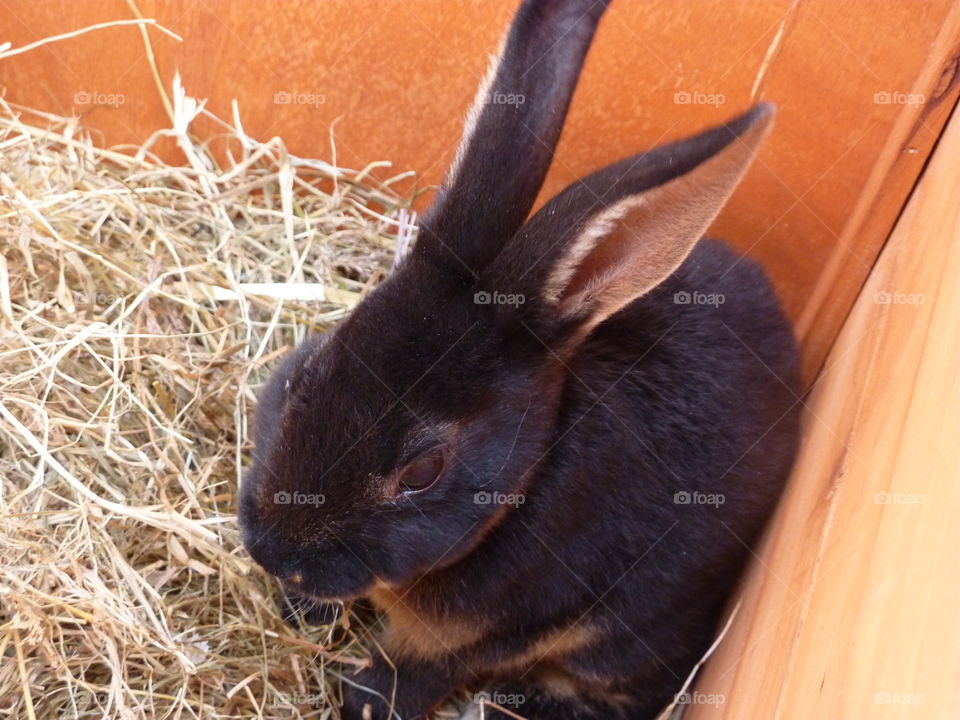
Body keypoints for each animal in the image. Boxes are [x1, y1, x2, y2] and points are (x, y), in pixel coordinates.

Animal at [238, 0, 800, 718]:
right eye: (308, 375)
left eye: (423, 471)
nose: (272, 552)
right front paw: (302, 611)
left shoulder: (487, 633)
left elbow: (417, 671)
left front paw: (365, 701)